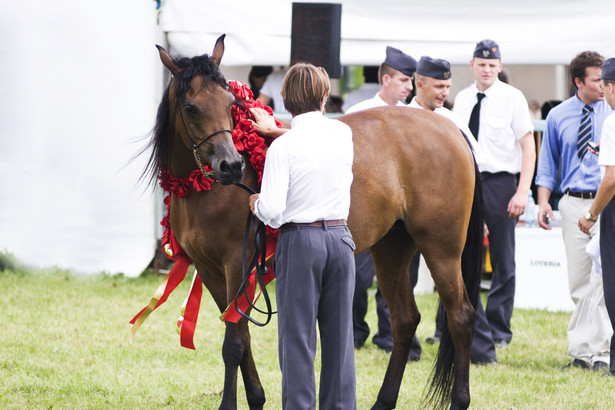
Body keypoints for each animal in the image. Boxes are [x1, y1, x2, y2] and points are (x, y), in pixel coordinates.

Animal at [142, 36, 484, 410]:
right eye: (190, 107)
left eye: (231, 103)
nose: (231, 166)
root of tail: (450, 130)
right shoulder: (209, 269)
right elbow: (241, 336)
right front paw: (257, 398)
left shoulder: (236, 264)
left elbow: (233, 343)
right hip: (392, 248)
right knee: (405, 320)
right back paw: (383, 401)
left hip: (441, 249)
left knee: (460, 317)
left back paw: (459, 400)